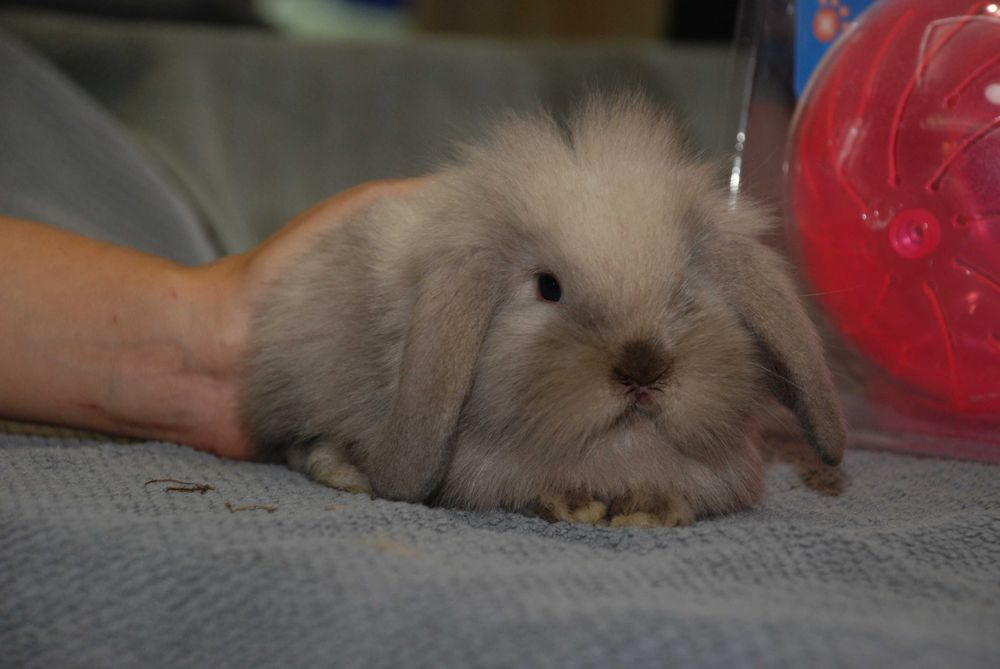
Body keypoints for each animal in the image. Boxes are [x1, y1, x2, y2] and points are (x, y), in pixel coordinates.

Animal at [242, 93, 846, 528]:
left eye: (688, 280)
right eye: (548, 288)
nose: (643, 367)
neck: (618, 451)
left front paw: (650, 513)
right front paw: (576, 506)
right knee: (301, 444)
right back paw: (346, 472)